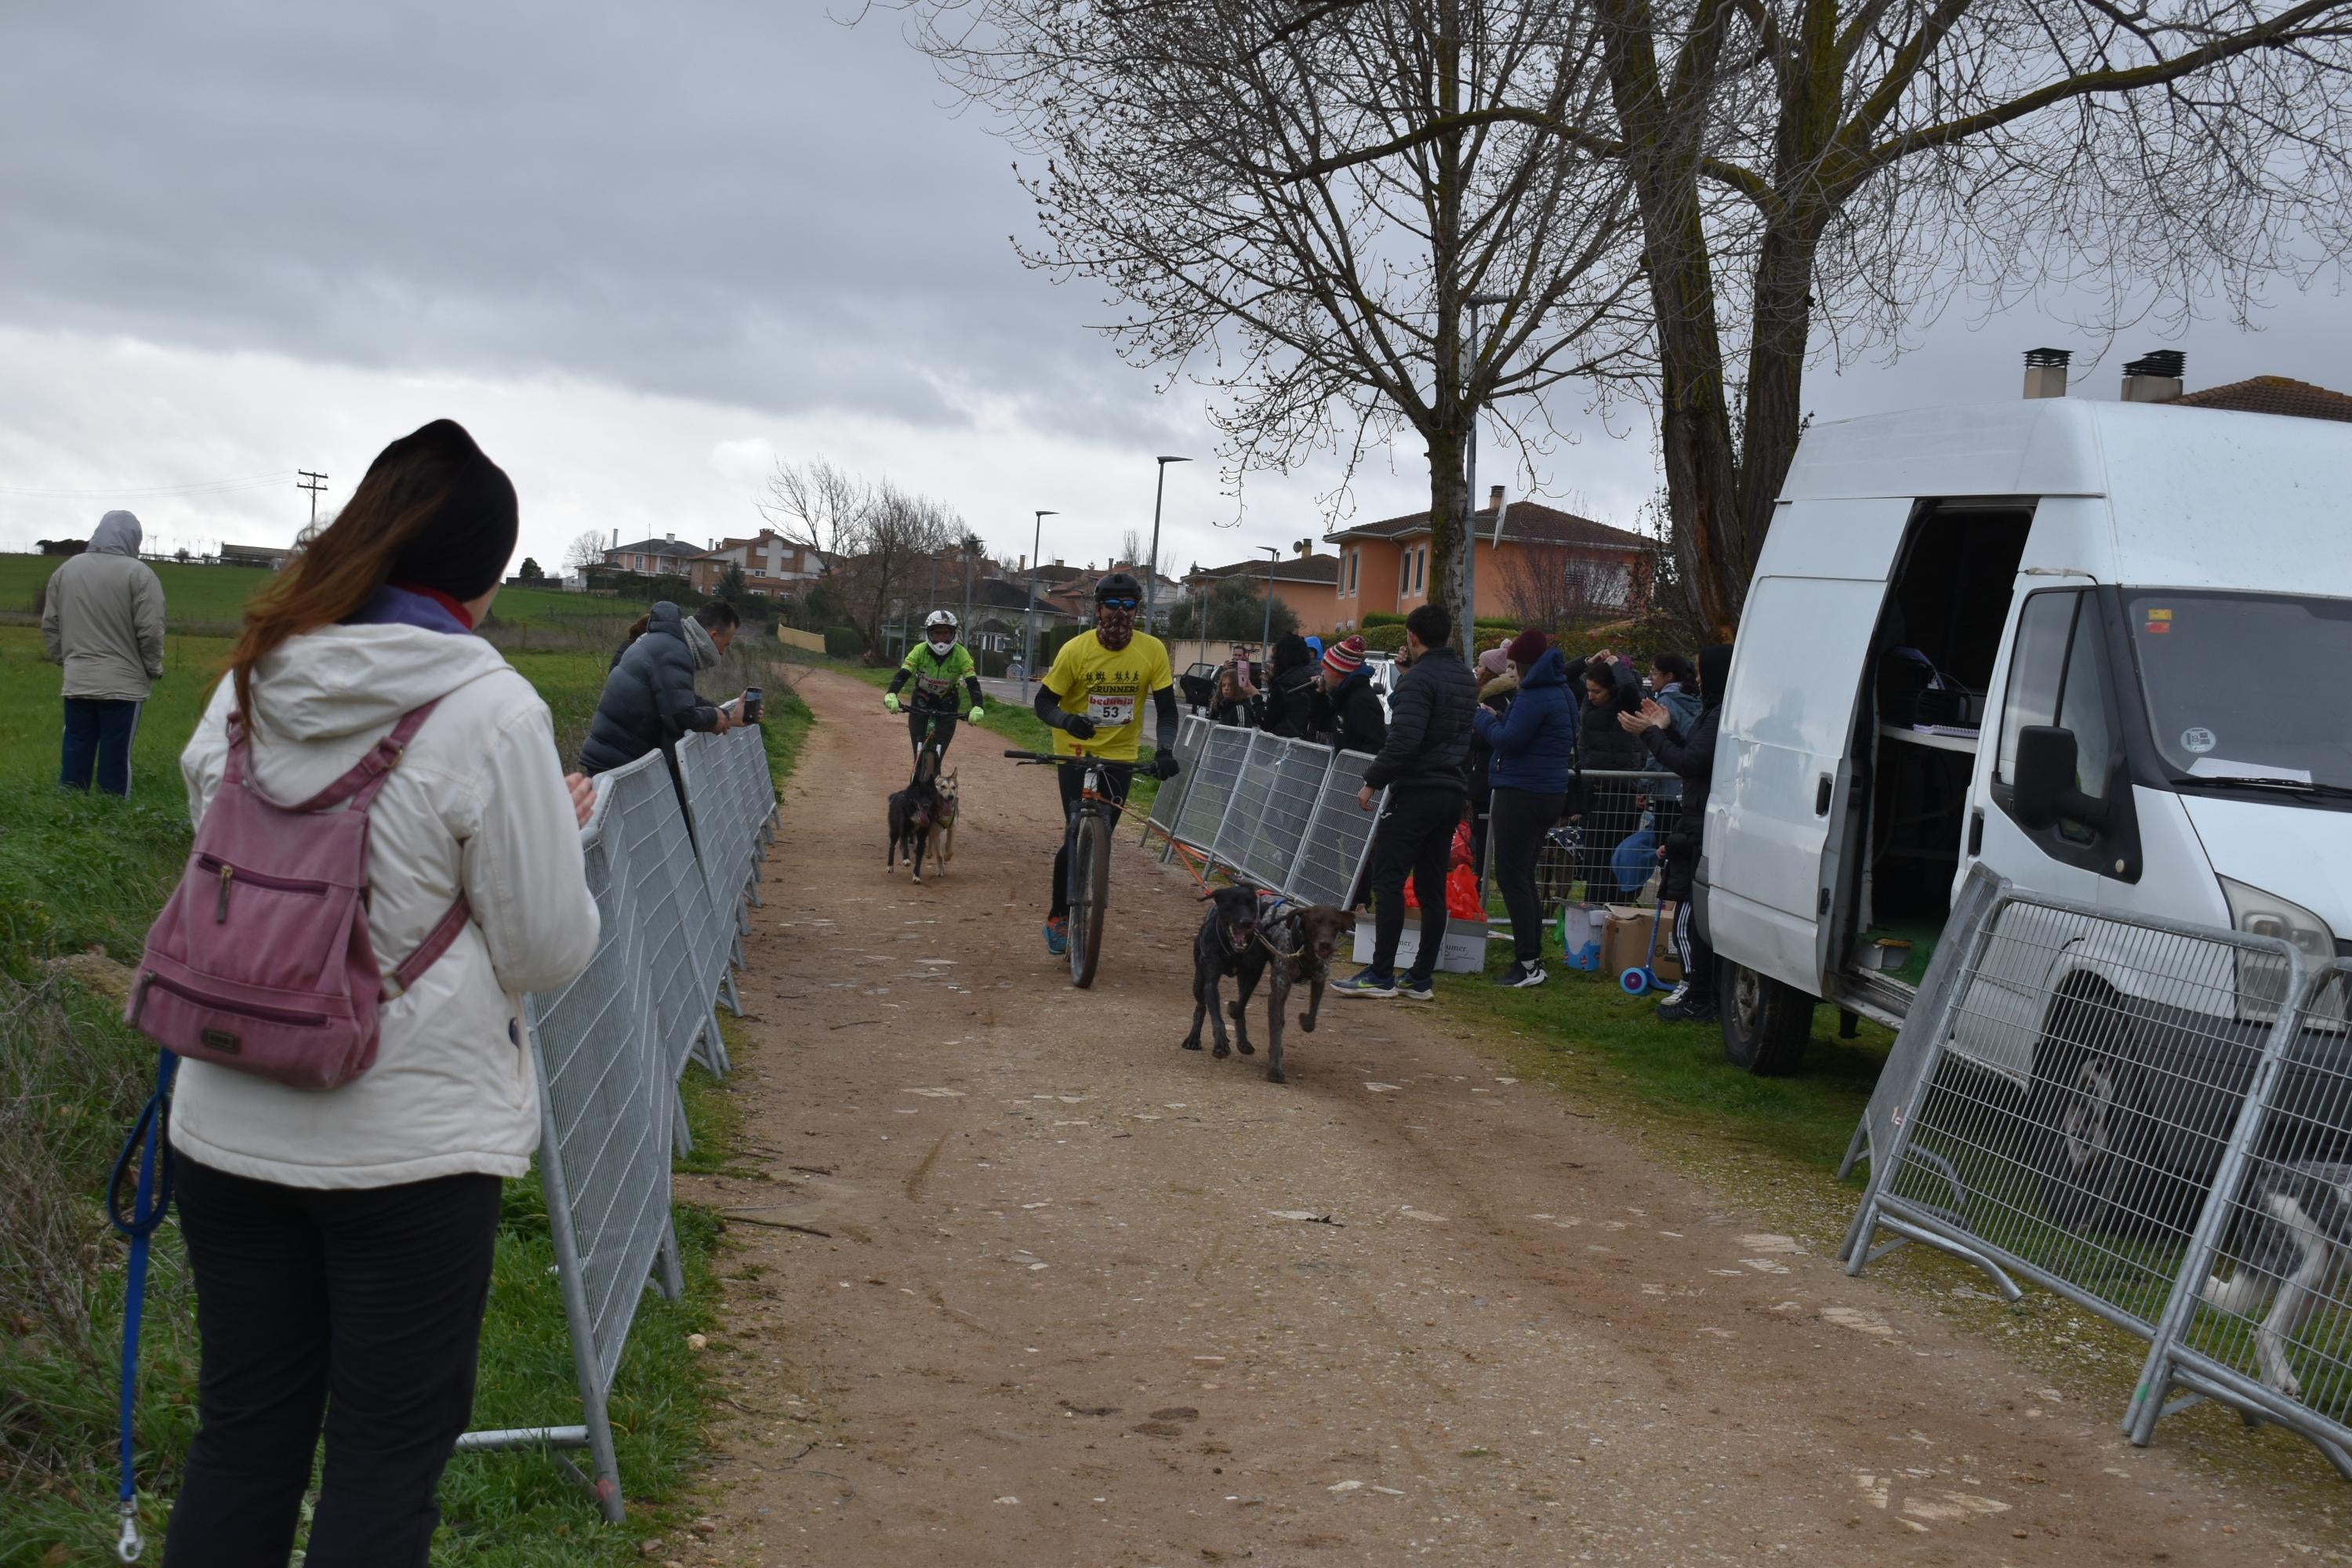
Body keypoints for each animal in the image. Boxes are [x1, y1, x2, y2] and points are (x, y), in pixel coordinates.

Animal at [1195, 888, 1270, 1062]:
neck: (1233, 951)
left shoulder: (1253, 973)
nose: (1246, 922)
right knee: (1201, 1004)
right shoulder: (1210, 979)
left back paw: (1243, 1042)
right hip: (1198, 980)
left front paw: (1233, 1008)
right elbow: (1216, 1016)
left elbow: (1242, 1003)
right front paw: (1221, 1045)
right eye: (1231, 904)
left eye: (1251, 904)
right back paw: (1192, 1040)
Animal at [1261, 902, 1355, 1086]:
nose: (1325, 944)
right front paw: (1275, 1070)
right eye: (1314, 922)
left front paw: (1304, 1020)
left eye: (1335, 924)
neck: (1306, 953)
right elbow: (1276, 1031)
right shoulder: (1276, 993)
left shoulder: (1319, 978)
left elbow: (1312, 1018)